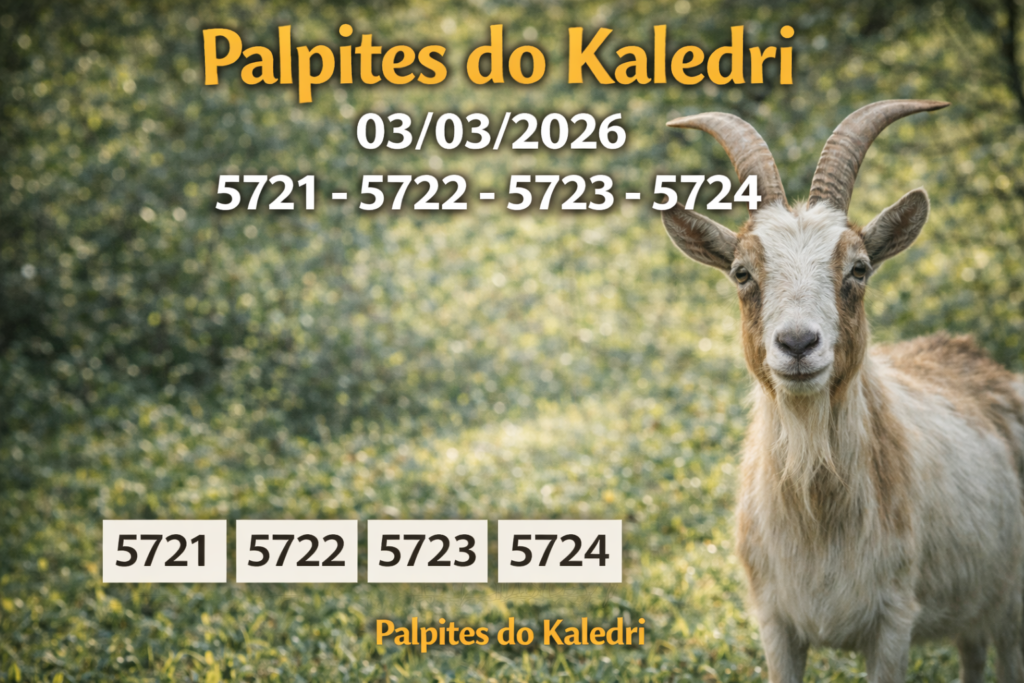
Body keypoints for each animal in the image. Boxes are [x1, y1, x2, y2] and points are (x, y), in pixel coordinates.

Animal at [660, 100, 1024, 682]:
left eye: (859, 267)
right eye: (741, 273)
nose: (798, 343)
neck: (818, 515)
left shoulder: (894, 620)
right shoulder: (775, 620)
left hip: (1009, 600)